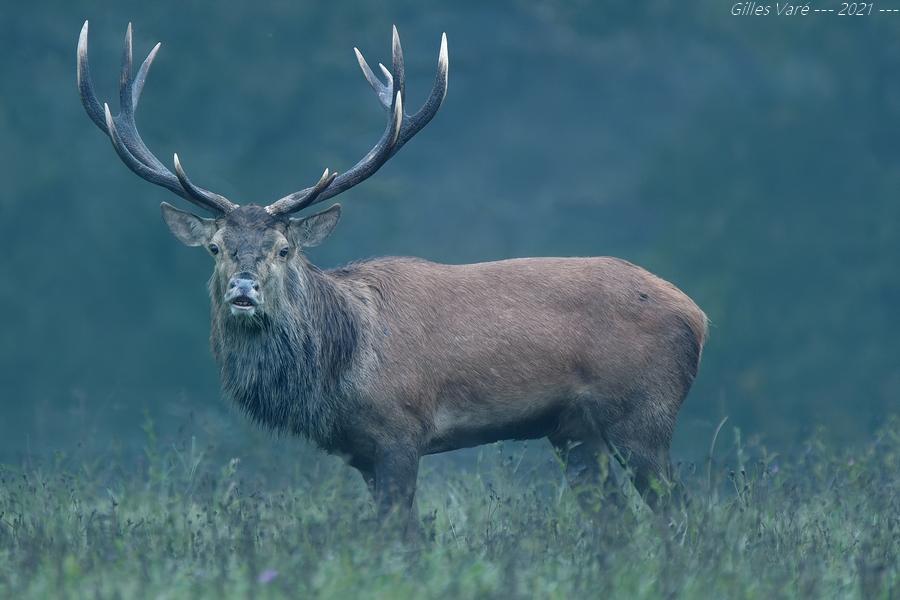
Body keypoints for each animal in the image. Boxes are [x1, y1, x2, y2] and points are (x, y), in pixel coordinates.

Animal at [77, 21, 708, 536]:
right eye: (217, 248)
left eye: (283, 248)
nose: (244, 290)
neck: (339, 366)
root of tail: (698, 316)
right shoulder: (361, 453)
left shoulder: (401, 430)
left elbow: (401, 536)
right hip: (575, 433)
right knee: (614, 521)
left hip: (642, 413)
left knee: (679, 512)